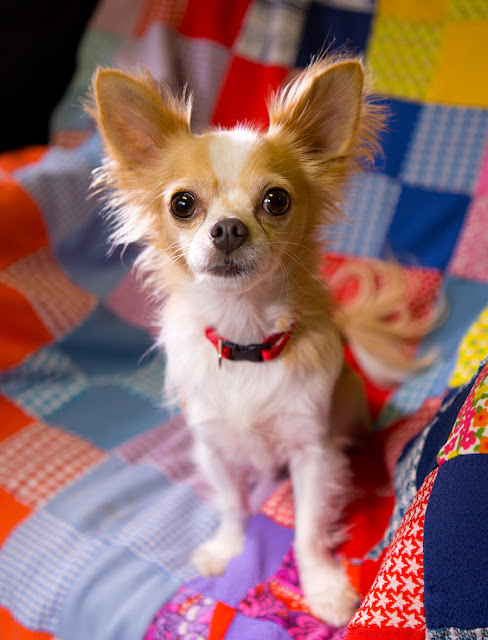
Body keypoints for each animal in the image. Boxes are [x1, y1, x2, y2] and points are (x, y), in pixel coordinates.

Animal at [89, 57, 434, 625]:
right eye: (182, 204)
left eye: (276, 200)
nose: (228, 228)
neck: (246, 339)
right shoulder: (212, 446)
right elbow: (233, 505)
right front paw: (227, 549)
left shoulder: (312, 453)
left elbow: (308, 530)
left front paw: (321, 588)